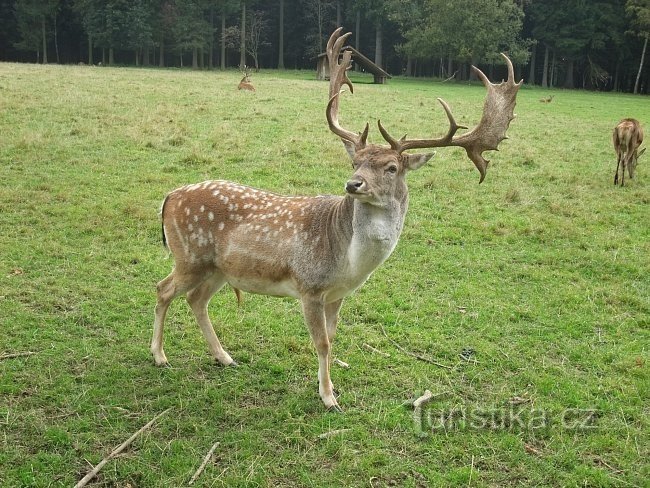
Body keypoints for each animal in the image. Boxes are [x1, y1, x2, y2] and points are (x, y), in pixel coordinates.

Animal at [149, 28, 520, 412]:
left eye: (391, 167)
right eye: (355, 161)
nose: (353, 184)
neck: (349, 263)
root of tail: (169, 197)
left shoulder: (339, 294)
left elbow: (333, 337)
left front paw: (328, 388)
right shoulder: (309, 286)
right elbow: (323, 343)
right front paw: (329, 397)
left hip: (218, 268)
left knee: (196, 300)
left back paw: (223, 356)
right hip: (190, 256)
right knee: (163, 289)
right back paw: (160, 356)